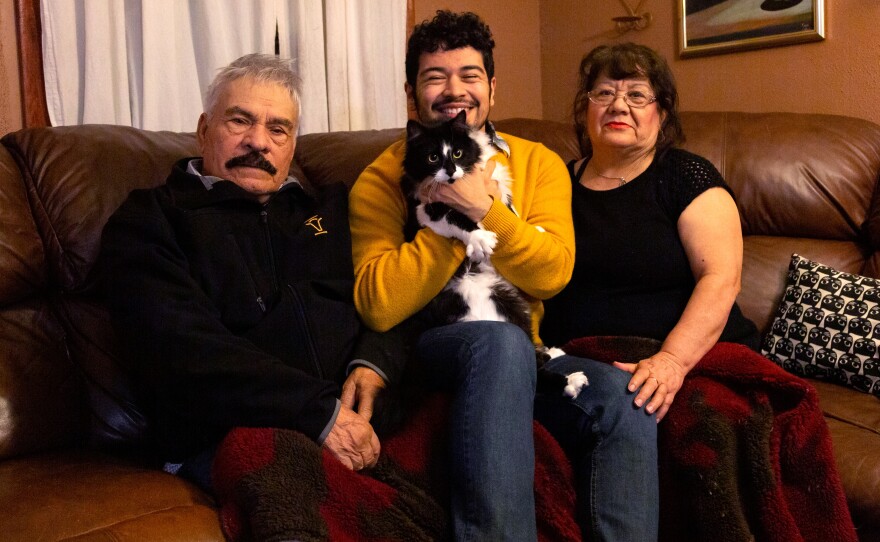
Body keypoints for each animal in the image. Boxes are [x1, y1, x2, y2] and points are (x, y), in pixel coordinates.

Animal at [402, 111, 588, 400]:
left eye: (457, 153)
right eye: (432, 157)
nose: (451, 170)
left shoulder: (494, 192)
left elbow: (506, 209)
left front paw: (532, 229)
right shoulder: (427, 210)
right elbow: (458, 218)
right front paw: (480, 240)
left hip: (513, 306)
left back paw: (554, 353)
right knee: (534, 370)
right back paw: (571, 381)